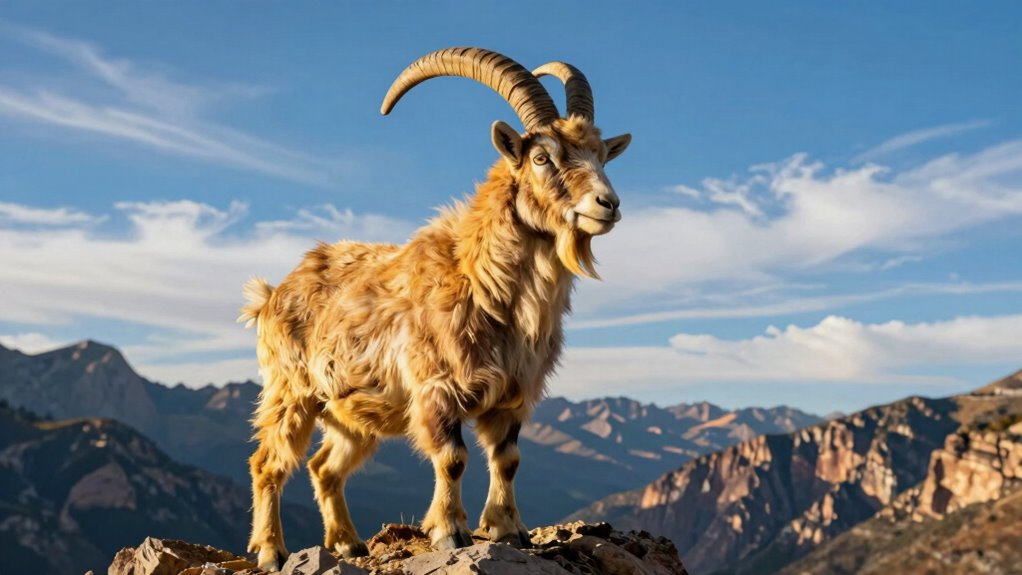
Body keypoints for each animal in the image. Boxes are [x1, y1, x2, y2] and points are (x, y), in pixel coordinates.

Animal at [239, 47, 631, 571]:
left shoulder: (514, 395)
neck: (481, 282)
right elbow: (452, 458)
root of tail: (270, 295)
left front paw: (509, 529)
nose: (607, 204)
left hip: (351, 412)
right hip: (291, 391)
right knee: (268, 463)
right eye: (542, 156)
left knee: (325, 467)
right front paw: (449, 531)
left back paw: (347, 542)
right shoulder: (437, 389)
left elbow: (508, 460)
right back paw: (270, 550)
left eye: (602, 155)